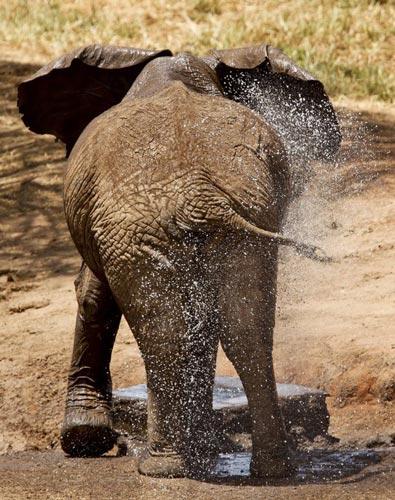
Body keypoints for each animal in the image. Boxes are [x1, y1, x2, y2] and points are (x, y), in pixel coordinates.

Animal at [17, 45, 342, 478]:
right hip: (241, 222)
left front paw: (84, 440)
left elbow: (92, 293)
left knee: (164, 334)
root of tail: (200, 193)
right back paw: (266, 469)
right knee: (246, 330)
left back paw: (162, 467)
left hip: (137, 233)